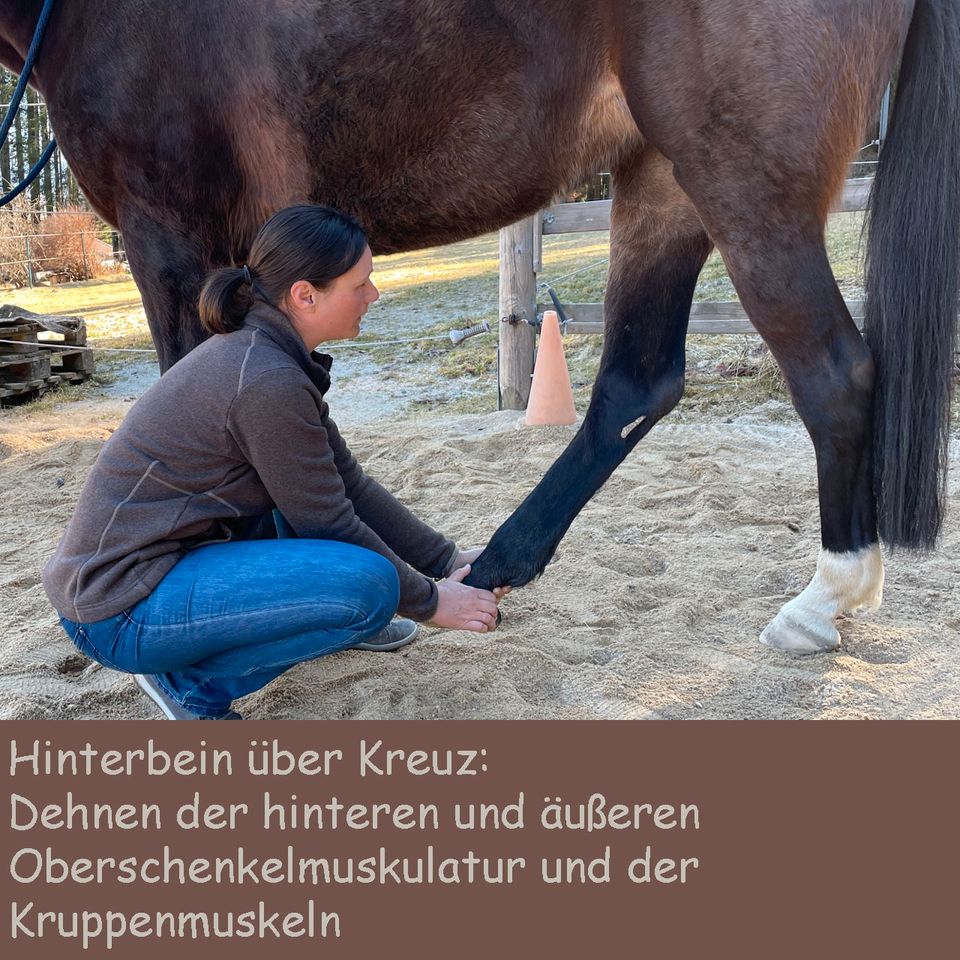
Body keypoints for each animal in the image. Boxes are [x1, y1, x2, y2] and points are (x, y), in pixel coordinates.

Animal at [0, 1, 956, 652]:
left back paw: (823, 599)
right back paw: (500, 565)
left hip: (741, 180)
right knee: (637, 383)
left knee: (834, 374)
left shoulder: (169, 235)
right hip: (662, 174)